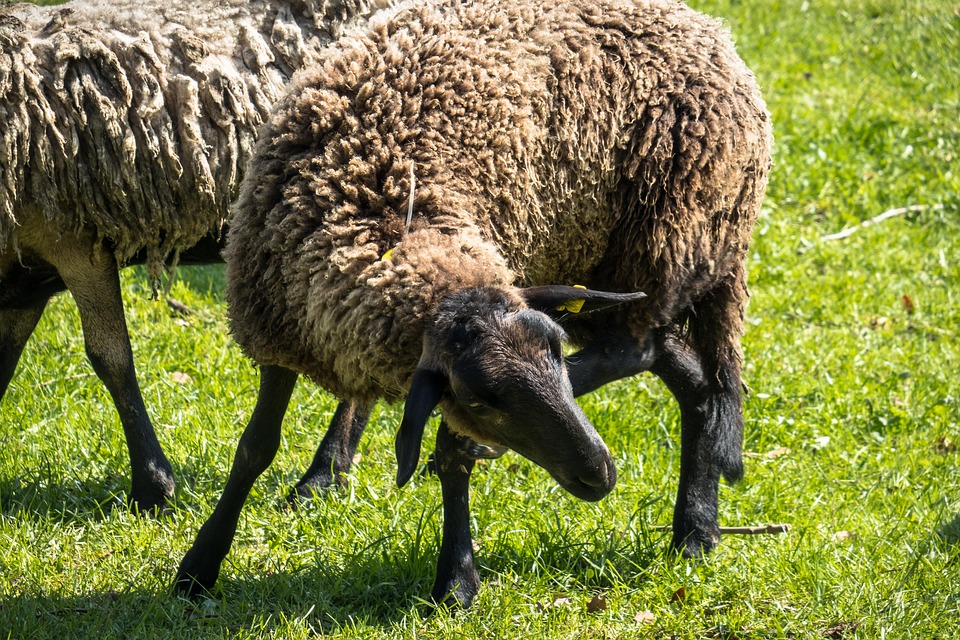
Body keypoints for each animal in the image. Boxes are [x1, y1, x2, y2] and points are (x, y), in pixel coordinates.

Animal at [0, 0, 392, 512]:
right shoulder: (25, 279)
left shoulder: (73, 237)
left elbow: (111, 358)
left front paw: (152, 487)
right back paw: (331, 471)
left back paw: (321, 477)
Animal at [174, 0, 773, 607]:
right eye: (483, 397)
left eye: (553, 355)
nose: (601, 475)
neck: (384, 208)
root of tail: (714, 35)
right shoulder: (279, 336)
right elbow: (255, 448)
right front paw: (198, 567)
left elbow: (452, 460)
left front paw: (456, 581)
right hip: (603, 263)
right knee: (690, 375)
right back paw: (697, 531)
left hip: (663, 236)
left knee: (636, 350)